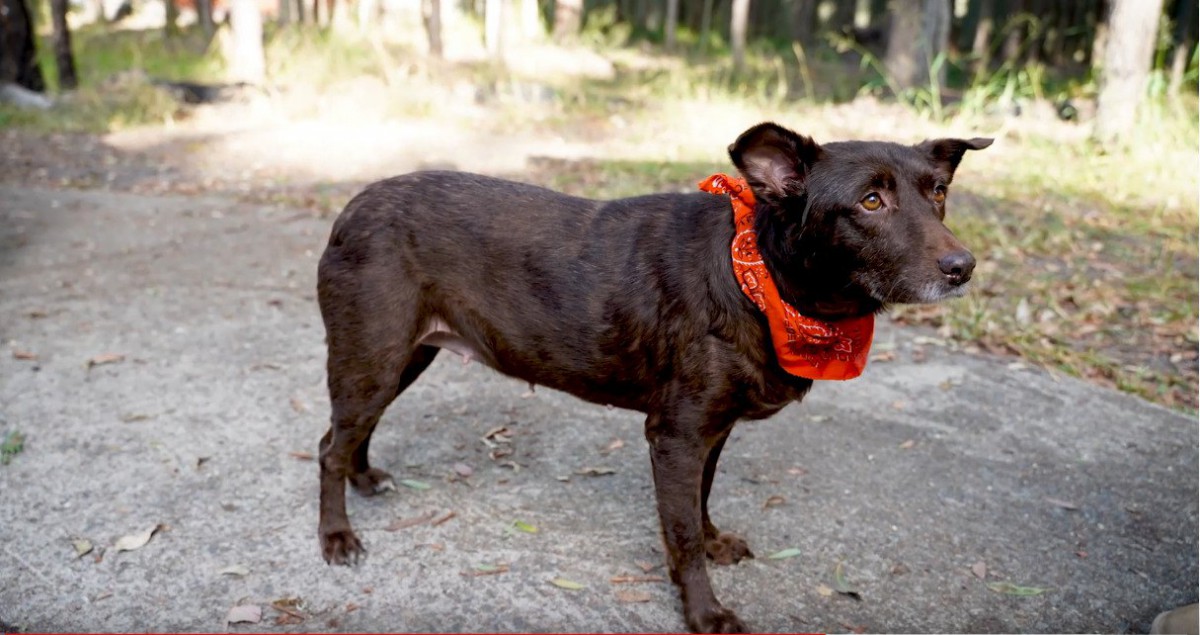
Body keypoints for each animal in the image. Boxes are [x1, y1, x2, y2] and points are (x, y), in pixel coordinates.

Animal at [314, 121, 988, 628]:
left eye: (938, 194)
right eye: (871, 202)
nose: (964, 267)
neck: (758, 278)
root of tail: (353, 205)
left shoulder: (711, 431)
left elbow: (701, 504)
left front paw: (714, 544)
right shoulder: (675, 435)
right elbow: (680, 534)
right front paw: (704, 614)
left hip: (400, 356)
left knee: (353, 431)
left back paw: (366, 478)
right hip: (373, 354)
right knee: (328, 446)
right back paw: (336, 537)